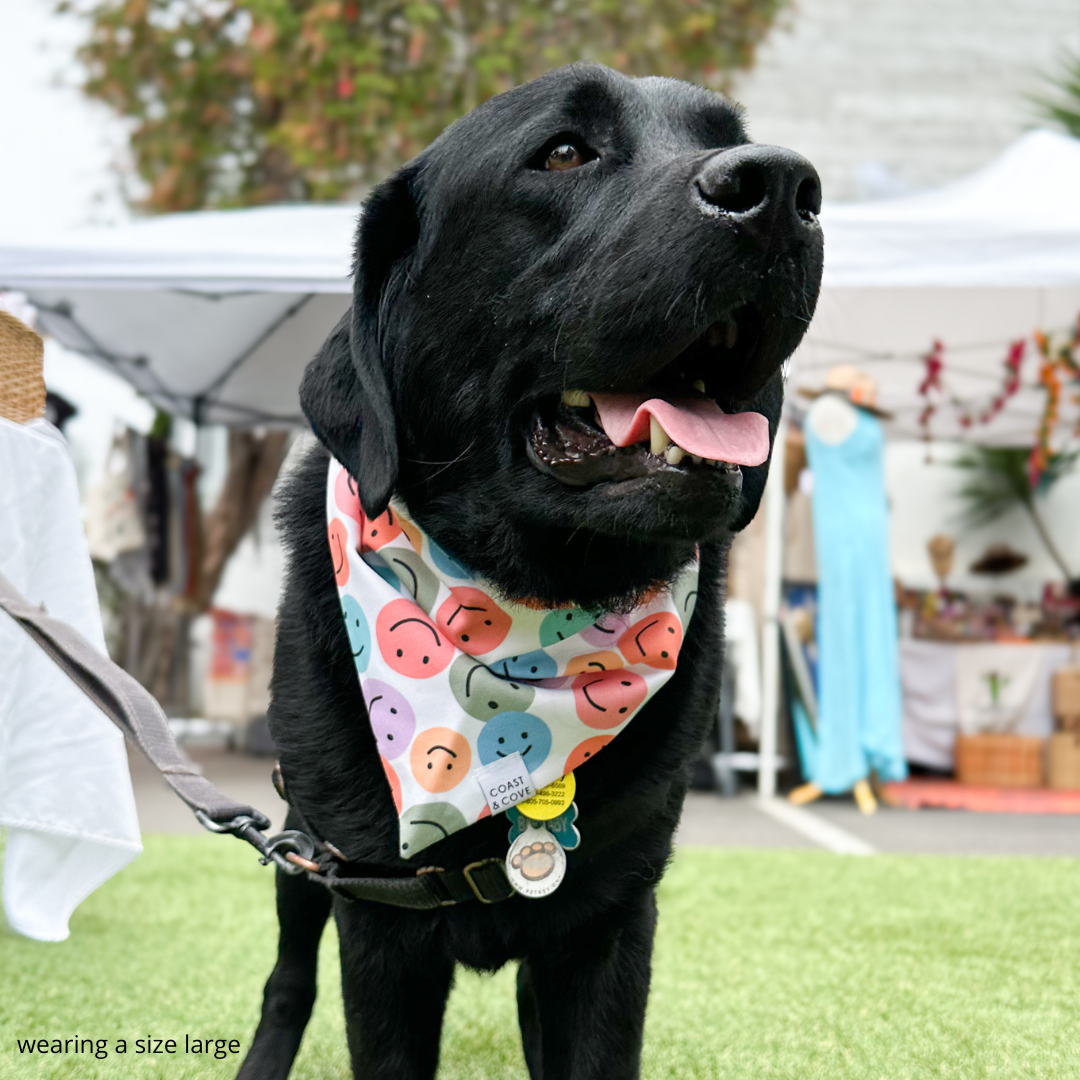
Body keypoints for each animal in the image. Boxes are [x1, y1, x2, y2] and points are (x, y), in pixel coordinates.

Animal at [238, 61, 816, 1080]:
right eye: (563, 153)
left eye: (729, 137)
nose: (785, 188)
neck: (532, 609)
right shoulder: (372, 908)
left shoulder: (611, 915)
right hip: (301, 848)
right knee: (287, 975)